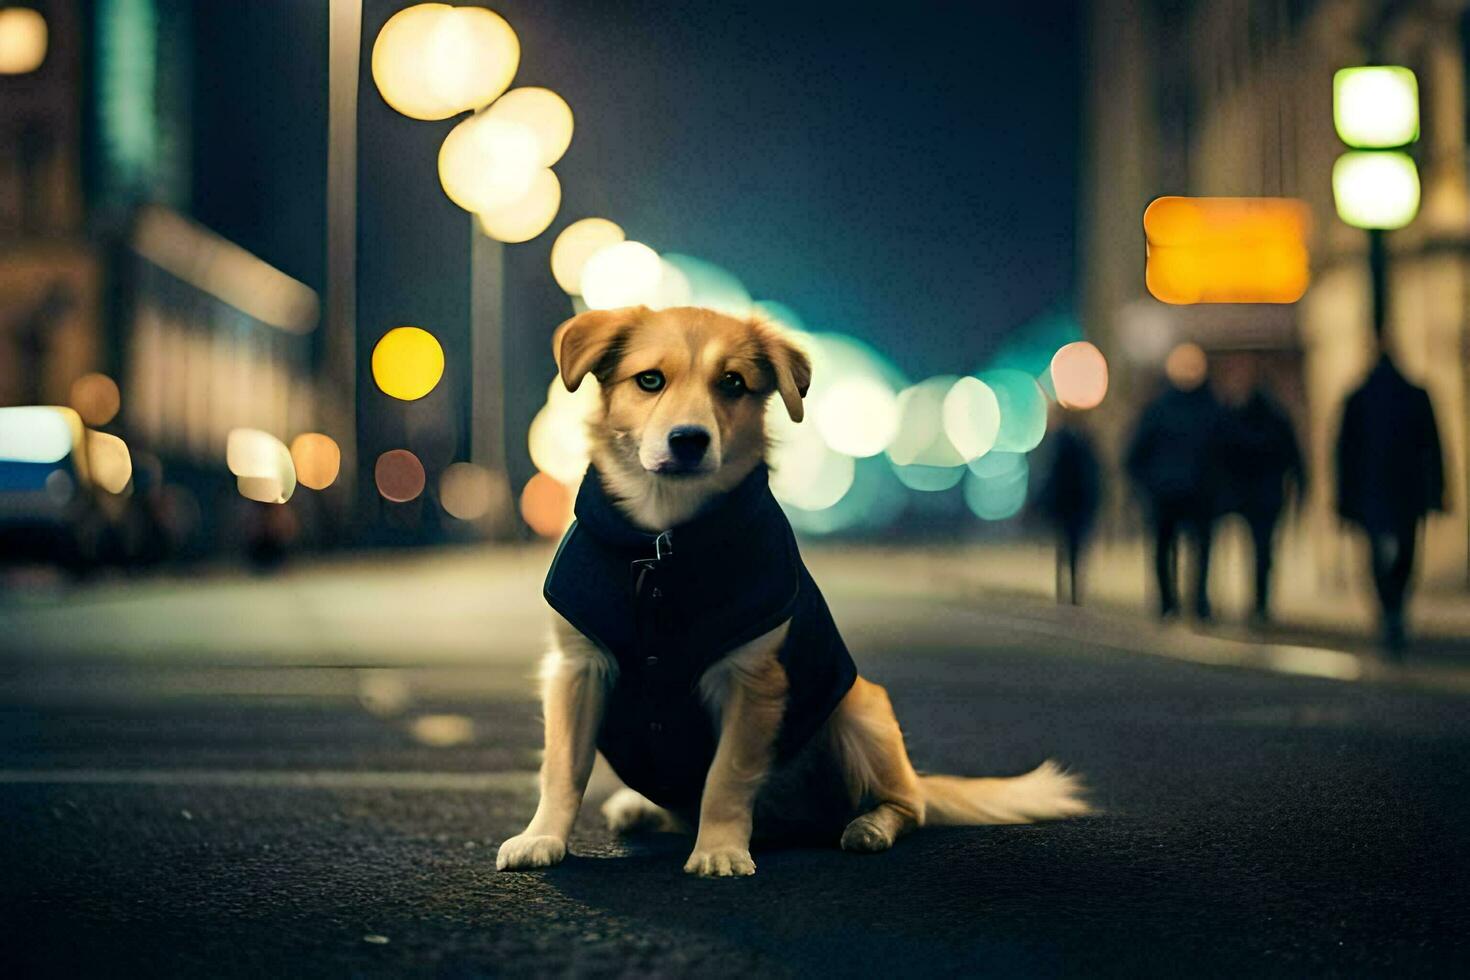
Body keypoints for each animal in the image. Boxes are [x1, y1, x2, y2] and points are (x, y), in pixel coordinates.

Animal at [499, 302, 1087, 875]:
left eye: (732, 383)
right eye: (649, 380)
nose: (689, 440)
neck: (663, 541)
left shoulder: (754, 679)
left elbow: (727, 776)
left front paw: (720, 849)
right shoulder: (577, 668)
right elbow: (563, 767)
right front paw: (542, 837)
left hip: (860, 708)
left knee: (908, 805)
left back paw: (869, 827)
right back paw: (638, 807)